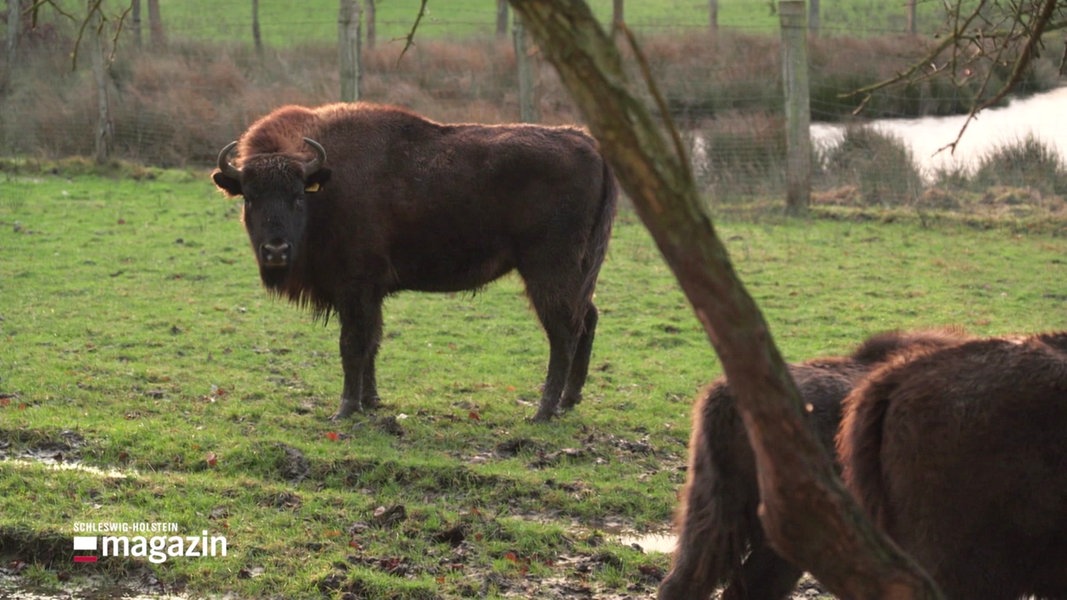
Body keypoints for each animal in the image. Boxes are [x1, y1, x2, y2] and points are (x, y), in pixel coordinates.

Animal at [211, 102, 618, 420]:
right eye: (250, 197)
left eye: (298, 196)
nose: (276, 250)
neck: (325, 187)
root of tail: (588, 143)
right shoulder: (370, 294)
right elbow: (372, 342)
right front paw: (371, 401)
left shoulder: (355, 289)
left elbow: (352, 344)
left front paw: (346, 408)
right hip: (579, 271)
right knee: (588, 318)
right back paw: (568, 401)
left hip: (547, 271)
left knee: (563, 331)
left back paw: (543, 411)